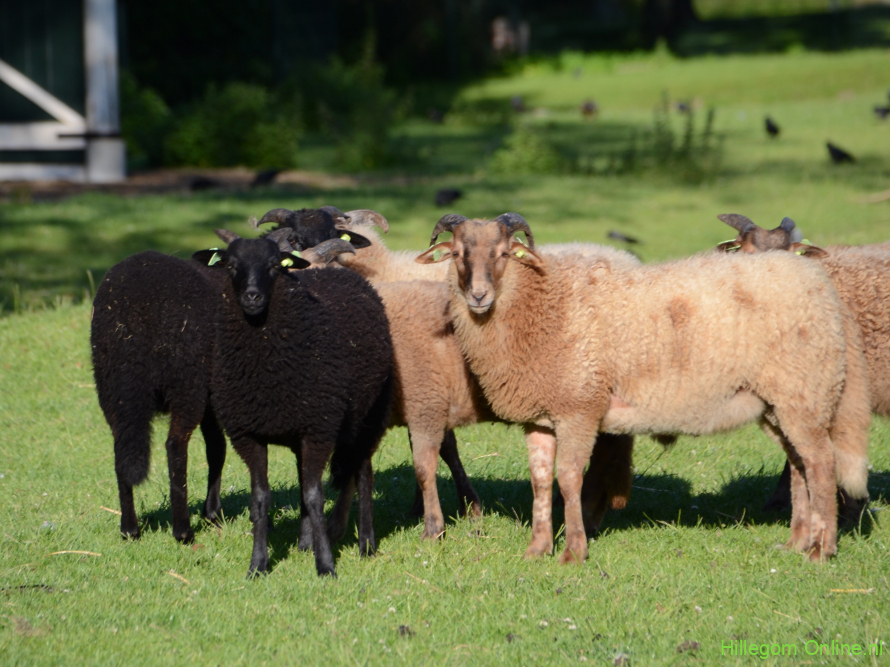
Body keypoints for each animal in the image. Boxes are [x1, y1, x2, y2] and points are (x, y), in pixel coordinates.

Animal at [90, 228, 298, 543]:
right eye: (233, 265)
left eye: (274, 265)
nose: (253, 297)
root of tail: (132, 312)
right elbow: (219, 448)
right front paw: (215, 513)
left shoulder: (211, 396)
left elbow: (216, 447)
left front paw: (213, 512)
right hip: (185, 381)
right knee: (175, 446)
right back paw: (183, 530)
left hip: (112, 386)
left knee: (122, 449)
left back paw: (129, 528)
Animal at [193, 229, 393, 577]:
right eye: (231, 266)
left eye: (275, 266)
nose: (252, 297)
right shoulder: (249, 435)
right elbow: (261, 499)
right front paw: (258, 565)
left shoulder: (318, 430)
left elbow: (315, 497)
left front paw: (325, 565)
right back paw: (304, 542)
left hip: (368, 415)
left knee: (363, 473)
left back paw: (366, 544)